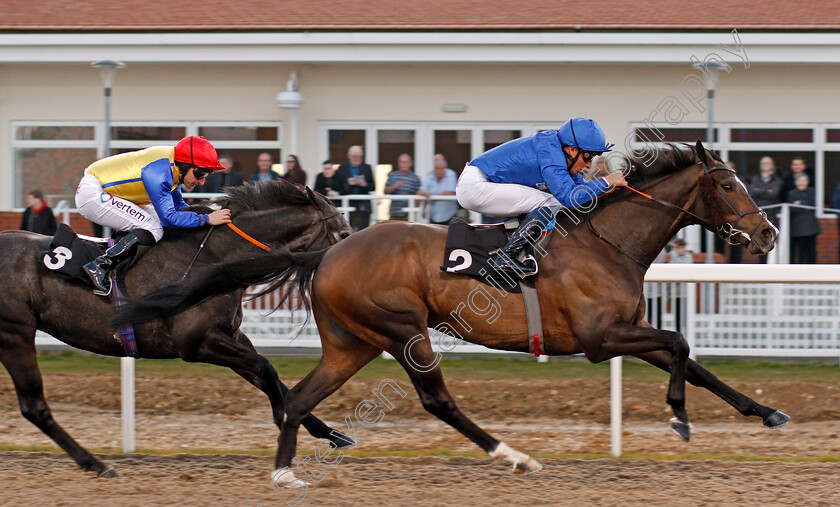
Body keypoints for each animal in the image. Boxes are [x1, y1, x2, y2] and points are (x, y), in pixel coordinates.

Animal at [0, 181, 352, 478]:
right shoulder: (196, 343)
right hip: (15, 333)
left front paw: (331, 433)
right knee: (35, 407)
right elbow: (266, 369)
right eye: (344, 234)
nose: (346, 263)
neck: (215, 256)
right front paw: (283, 423)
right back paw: (97, 464)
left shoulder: (230, 335)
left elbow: (272, 378)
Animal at [118, 142, 788, 480]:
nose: (769, 234)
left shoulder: (625, 330)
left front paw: (767, 412)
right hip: (402, 330)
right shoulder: (602, 337)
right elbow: (678, 344)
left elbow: (694, 359)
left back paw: (286, 472)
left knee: (299, 397)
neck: (605, 240)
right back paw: (514, 456)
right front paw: (678, 417)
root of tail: (331, 248)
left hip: (353, 342)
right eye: (728, 184)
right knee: (436, 400)